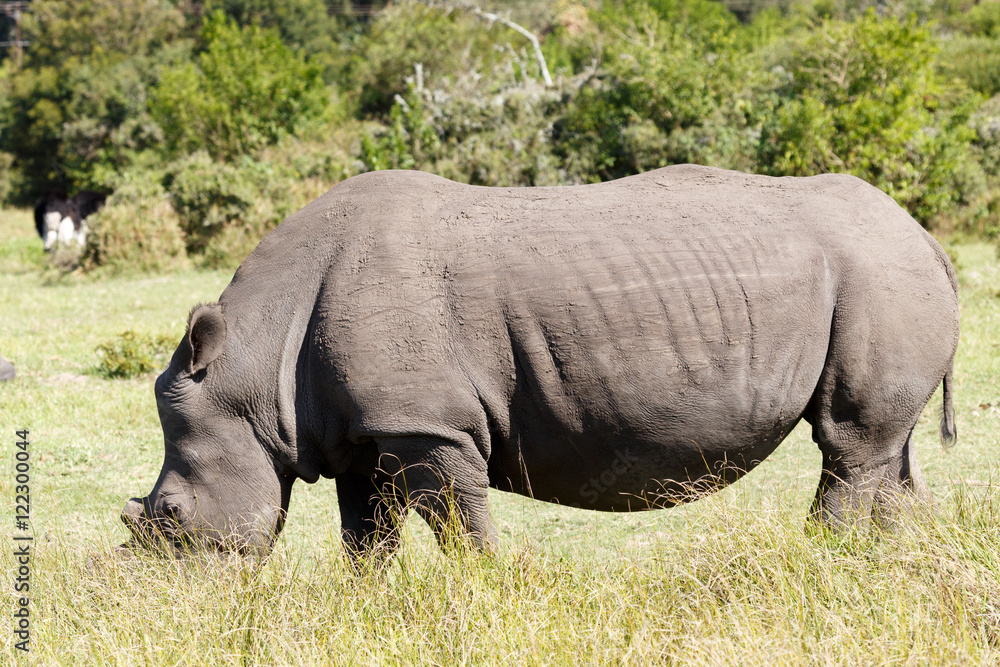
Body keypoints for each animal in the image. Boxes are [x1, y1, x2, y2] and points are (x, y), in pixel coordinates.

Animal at [121, 165, 959, 558]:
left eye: (172, 516)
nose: (187, 602)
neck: (256, 363)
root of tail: (926, 237)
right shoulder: (362, 431)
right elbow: (367, 540)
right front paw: (370, 614)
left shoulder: (428, 426)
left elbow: (462, 529)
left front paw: (485, 598)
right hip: (885, 275)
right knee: (886, 452)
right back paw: (883, 570)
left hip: (878, 273)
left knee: (849, 444)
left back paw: (822, 561)